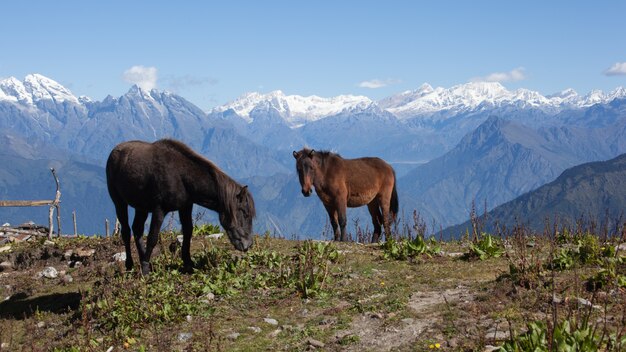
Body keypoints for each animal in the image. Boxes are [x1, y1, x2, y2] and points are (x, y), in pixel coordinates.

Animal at [106, 138, 255, 276]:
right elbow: (153, 237)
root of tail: (115, 150)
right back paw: (130, 264)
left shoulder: (185, 207)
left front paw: (188, 262)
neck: (181, 176)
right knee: (126, 231)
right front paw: (145, 269)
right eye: (244, 213)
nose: (247, 244)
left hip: (141, 207)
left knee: (137, 229)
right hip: (119, 202)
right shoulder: (159, 210)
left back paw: (143, 258)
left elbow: (188, 231)